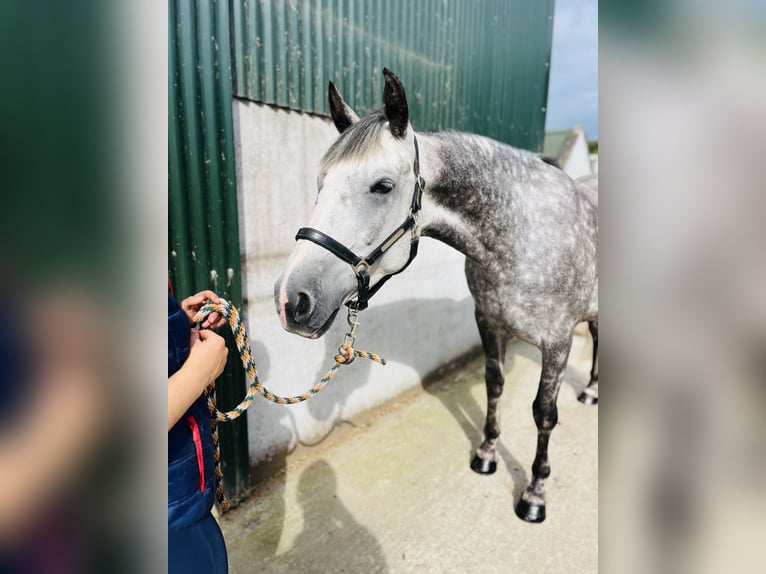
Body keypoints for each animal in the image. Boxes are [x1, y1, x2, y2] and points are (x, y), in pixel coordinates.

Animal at [274, 69, 598, 523]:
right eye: (321, 183)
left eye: (383, 186)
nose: (291, 300)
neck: (524, 235)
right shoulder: (489, 323)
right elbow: (494, 386)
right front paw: (486, 455)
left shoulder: (558, 342)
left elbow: (543, 414)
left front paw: (535, 495)